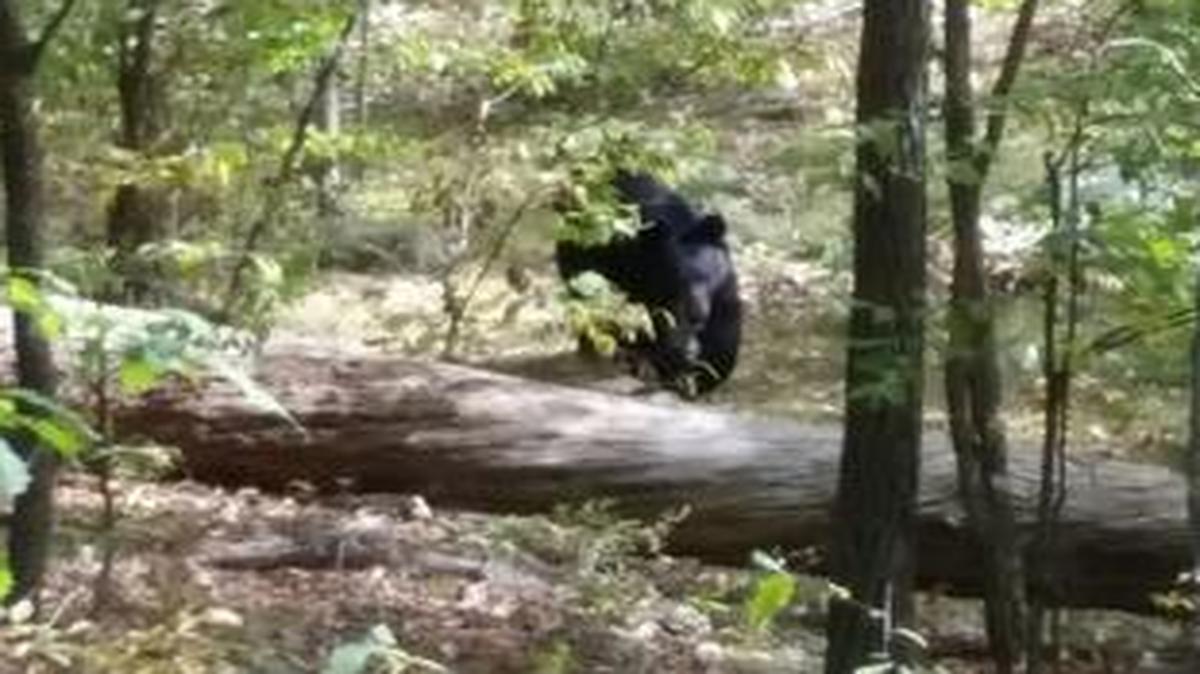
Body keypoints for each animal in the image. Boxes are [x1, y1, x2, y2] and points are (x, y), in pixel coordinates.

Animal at [555, 169, 742, 397]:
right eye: (677, 280)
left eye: (703, 276)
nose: (696, 312)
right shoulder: (630, 268)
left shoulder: (721, 287)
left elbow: (723, 334)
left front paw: (699, 373)